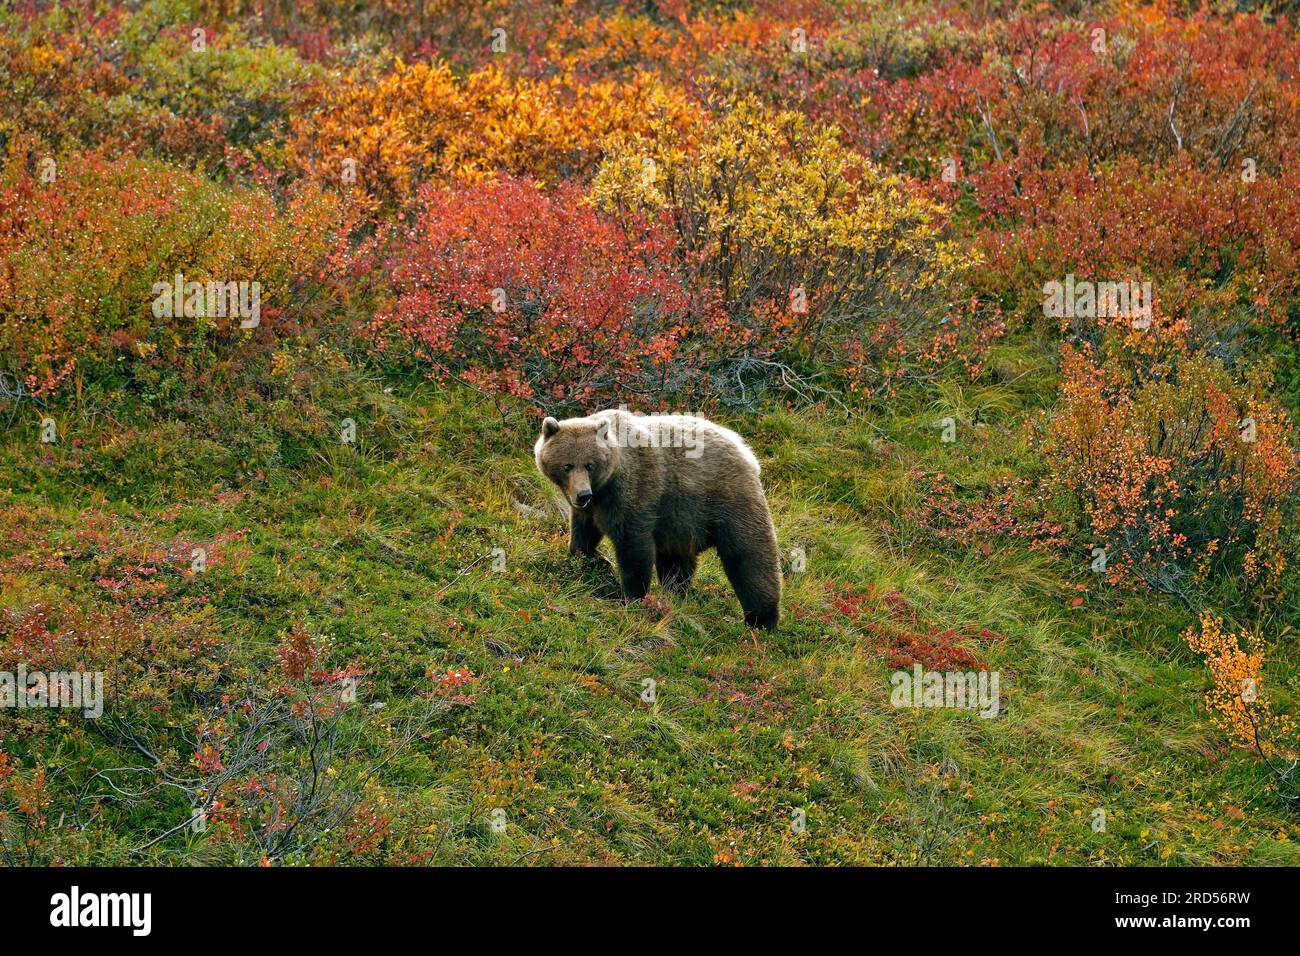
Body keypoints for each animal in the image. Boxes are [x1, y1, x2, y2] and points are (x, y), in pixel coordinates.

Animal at [530, 408, 774, 629]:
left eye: (590, 464)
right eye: (567, 465)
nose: (583, 494)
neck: (605, 487)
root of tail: (745, 449)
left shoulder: (634, 491)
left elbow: (633, 546)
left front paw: (633, 597)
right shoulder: (591, 508)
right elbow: (584, 534)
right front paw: (592, 559)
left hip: (728, 501)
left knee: (748, 556)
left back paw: (761, 620)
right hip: (681, 521)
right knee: (676, 562)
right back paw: (675, 594)